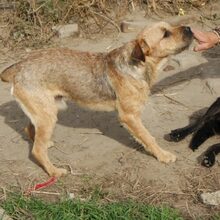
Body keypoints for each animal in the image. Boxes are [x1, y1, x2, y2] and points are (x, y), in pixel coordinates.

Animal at [0, 21, 192, 177]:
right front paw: (163, 155)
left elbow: (144, 137)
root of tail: (19, 66)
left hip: (46, 110)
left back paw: (46, 145)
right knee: (37, 150)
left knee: (30, 130)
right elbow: (148, 137)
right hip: (48, 116)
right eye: (165, 34)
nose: (189, 28)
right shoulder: (129, 116)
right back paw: (54, 171)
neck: (138, 65)